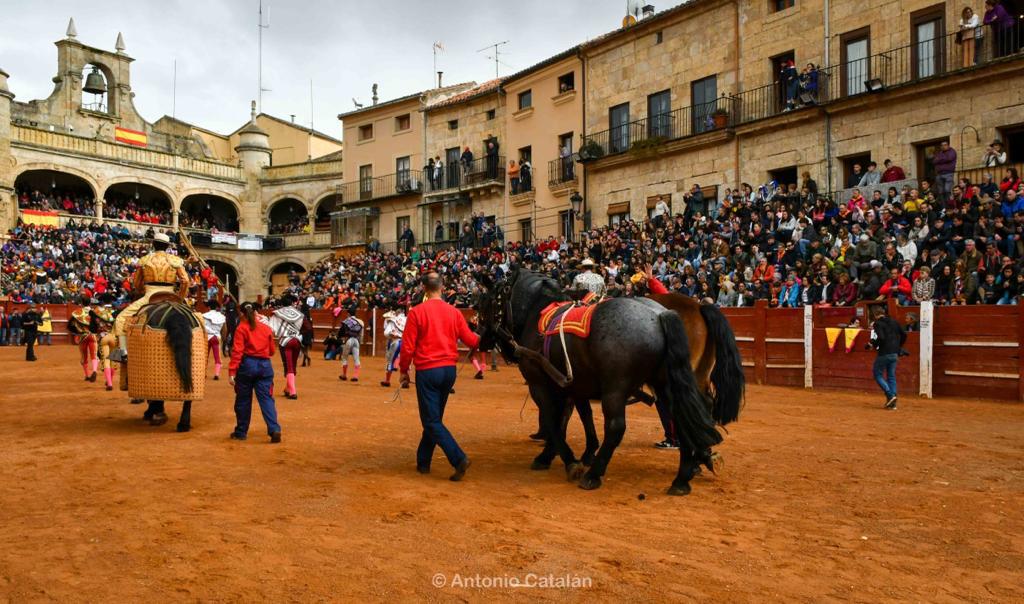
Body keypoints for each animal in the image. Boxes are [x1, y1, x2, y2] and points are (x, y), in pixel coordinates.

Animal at [477, 270, 720, 497]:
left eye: (484, 303)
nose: (481, 339)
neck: (538, 312)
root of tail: (660, 314)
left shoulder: (540, 385)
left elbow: (553, 421)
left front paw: (566, 459)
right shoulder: (574, 387)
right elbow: (576, 418)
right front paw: (570, 453)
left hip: (616, 389)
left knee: (616, 427)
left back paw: (594, 474)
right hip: (667, 384)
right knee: (683, 417)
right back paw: (684, 476)